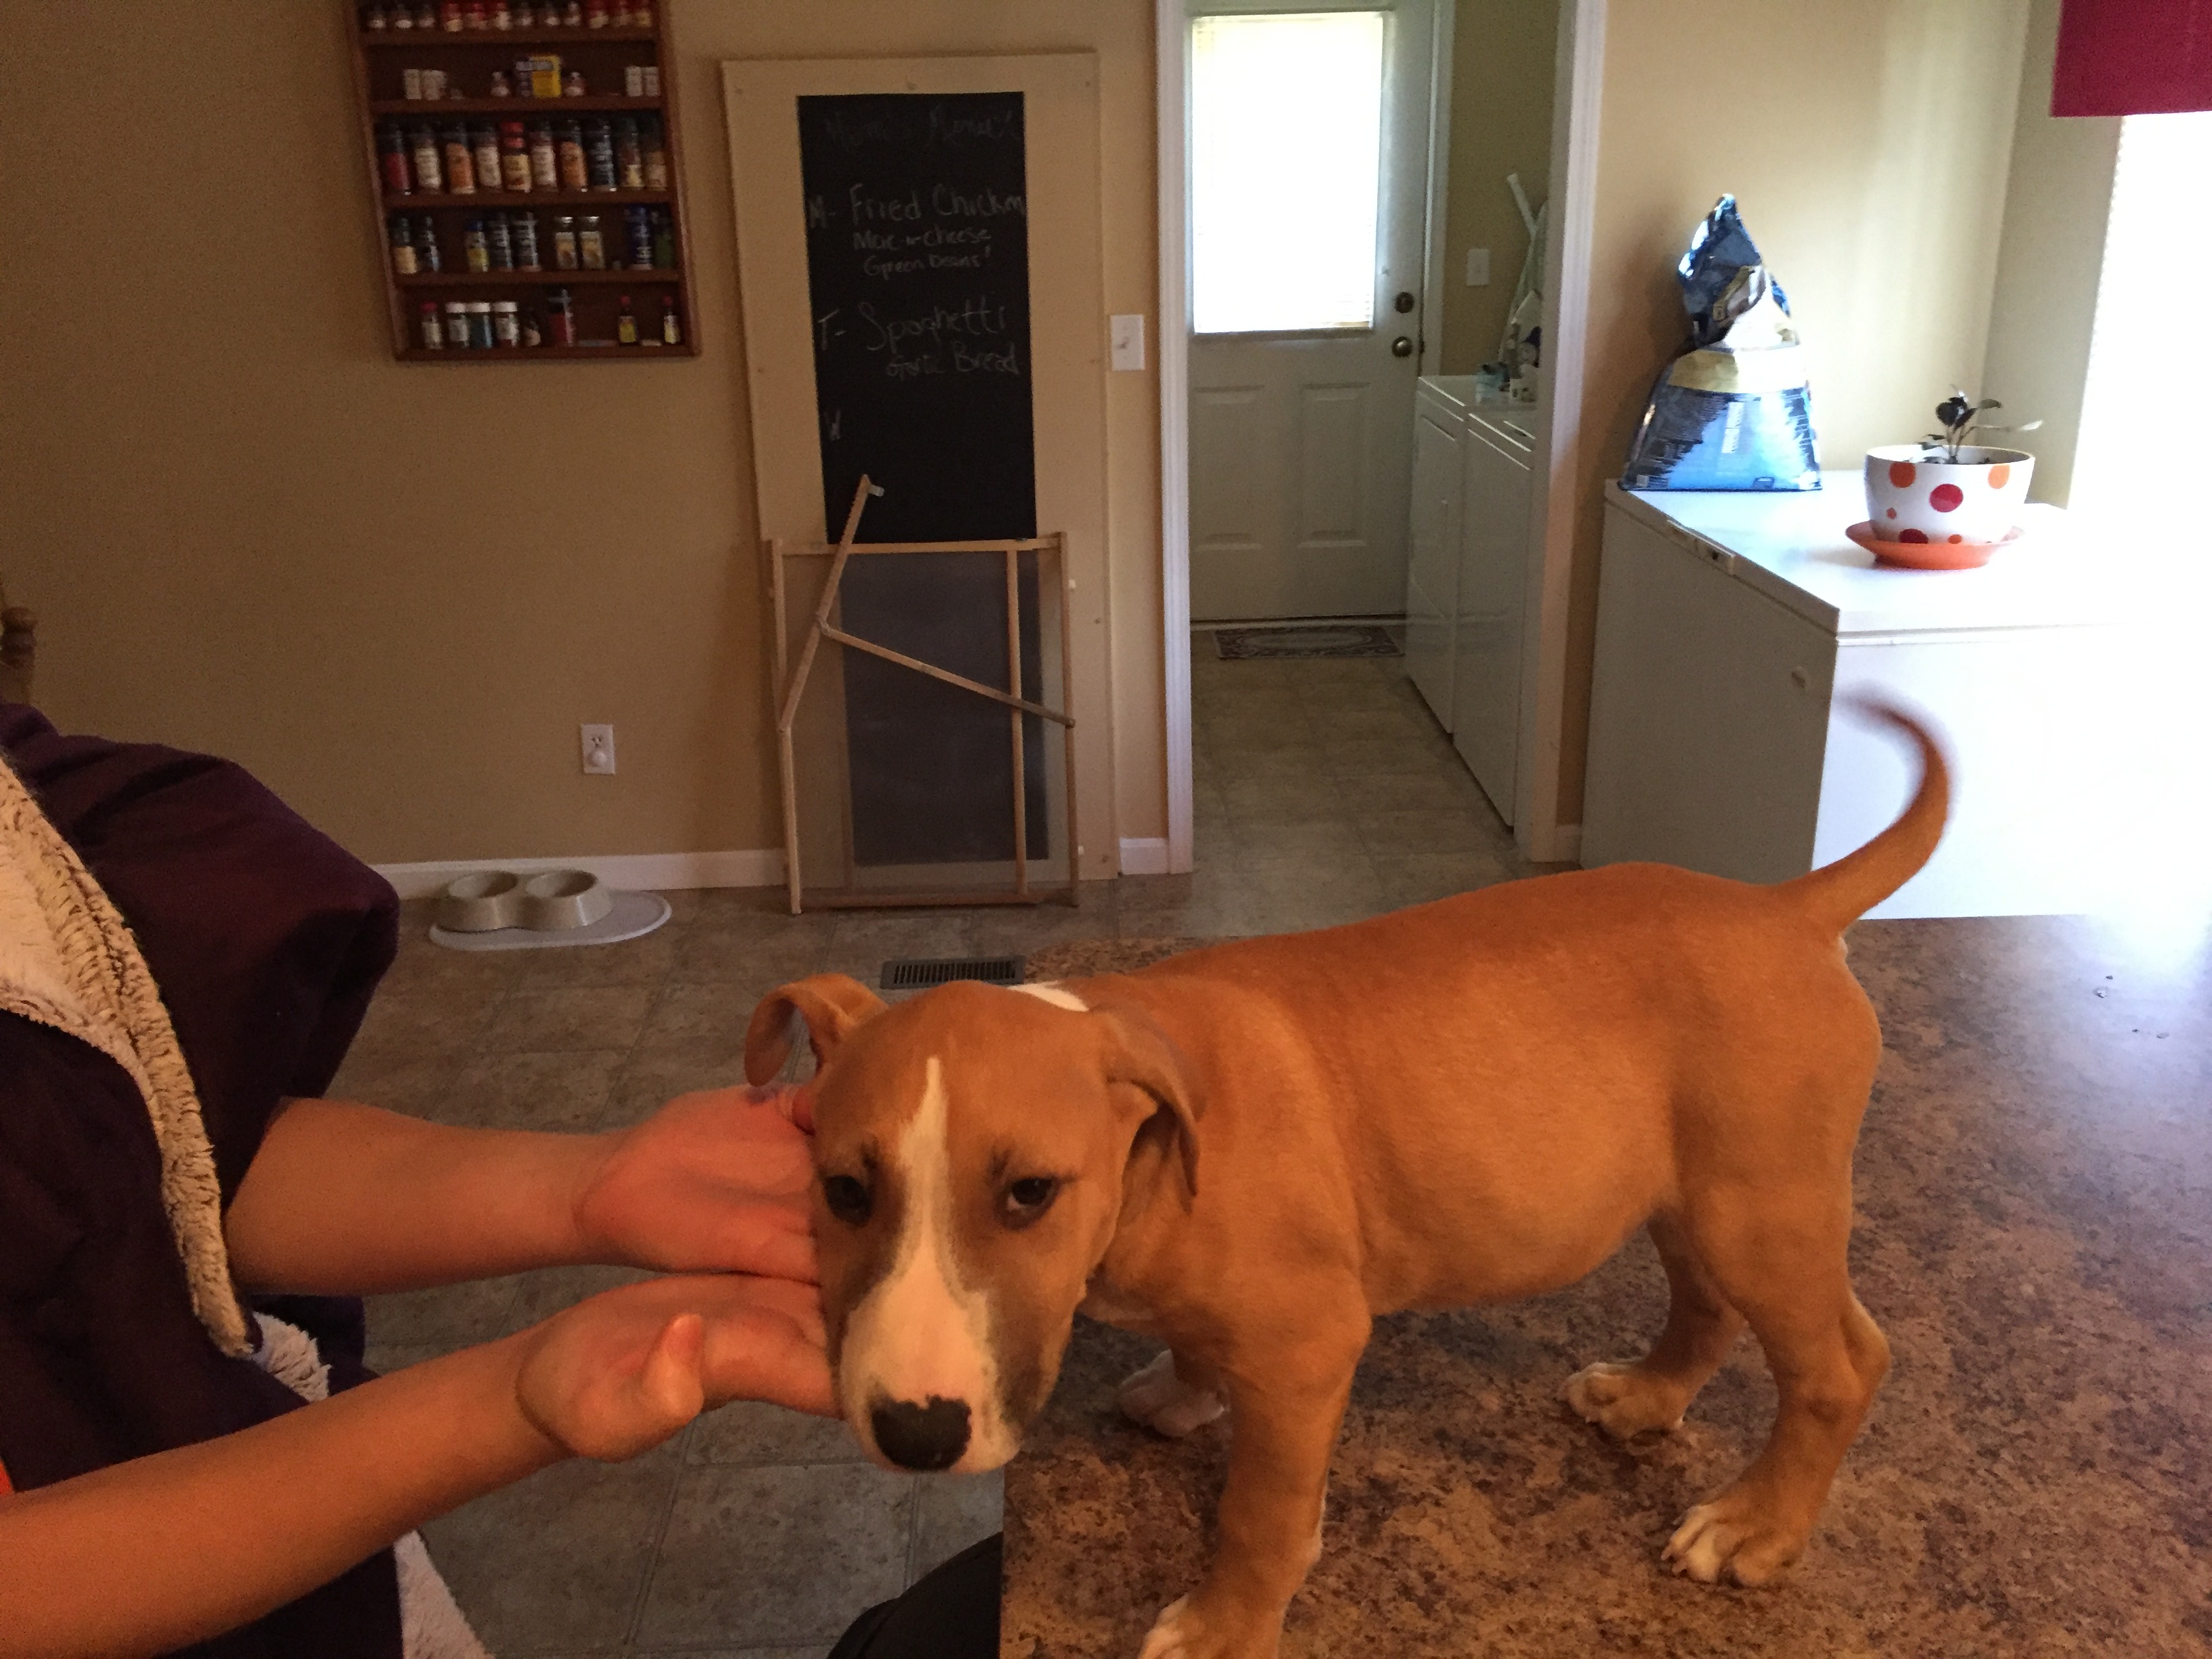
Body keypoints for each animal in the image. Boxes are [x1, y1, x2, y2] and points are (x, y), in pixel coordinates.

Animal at [743, 708, 1947, 1659]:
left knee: (1842, 1364)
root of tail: (1785, 910)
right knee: (1705, 1306)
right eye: (844, 1191)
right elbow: (1199, 1359)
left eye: (1030, 1193)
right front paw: (1182, 1390)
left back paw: (1754, 1528)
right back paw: (1647, 1397)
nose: (916, 1439)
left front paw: (1225, 1628)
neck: (1152, 1156)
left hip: (1765, 1206)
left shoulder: (1309, 1346)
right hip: (1690, 1193)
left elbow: (1263, 1512)